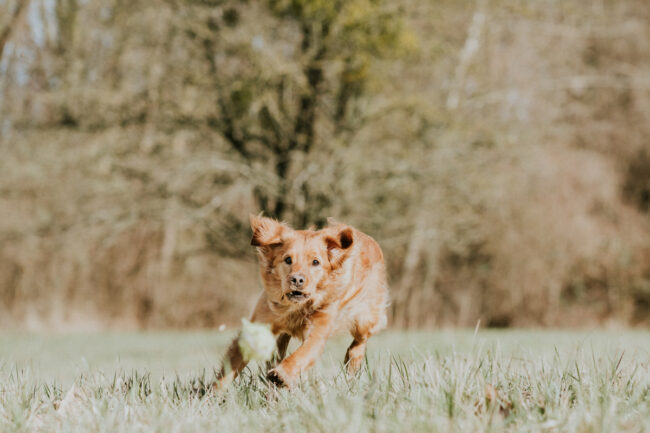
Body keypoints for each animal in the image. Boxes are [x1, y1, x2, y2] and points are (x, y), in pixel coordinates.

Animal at [218, 214, 390, 386]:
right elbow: (233, 362)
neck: (297, 307)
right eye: (288, 260)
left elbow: (302, 354)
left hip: (364, 318)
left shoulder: (318, 330)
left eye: (315, 262)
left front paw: (282, 374)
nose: (297, 279)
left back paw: (353, 363)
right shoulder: (261, 321)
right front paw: (215, 390)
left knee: (360, 342)